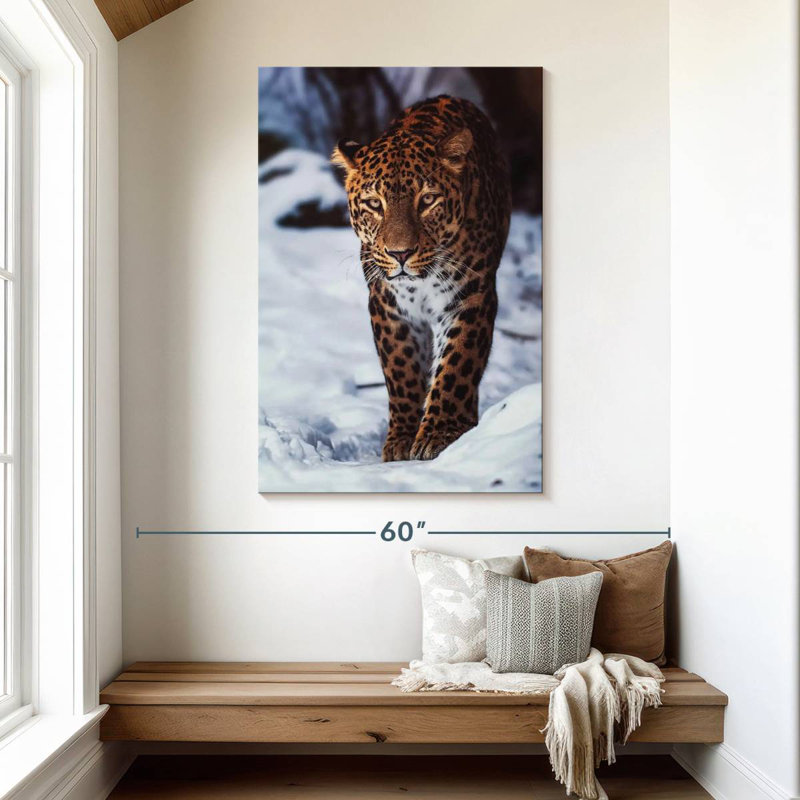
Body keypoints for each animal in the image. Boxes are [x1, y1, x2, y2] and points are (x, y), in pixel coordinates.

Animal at [332, 95, 511, 462]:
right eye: (374, 204)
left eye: (427, 200)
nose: (400, 254)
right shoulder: (387, 303)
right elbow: (401, 370)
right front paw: (401, 439)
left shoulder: (469, 297)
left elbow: (457, 364)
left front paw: (441, 433)